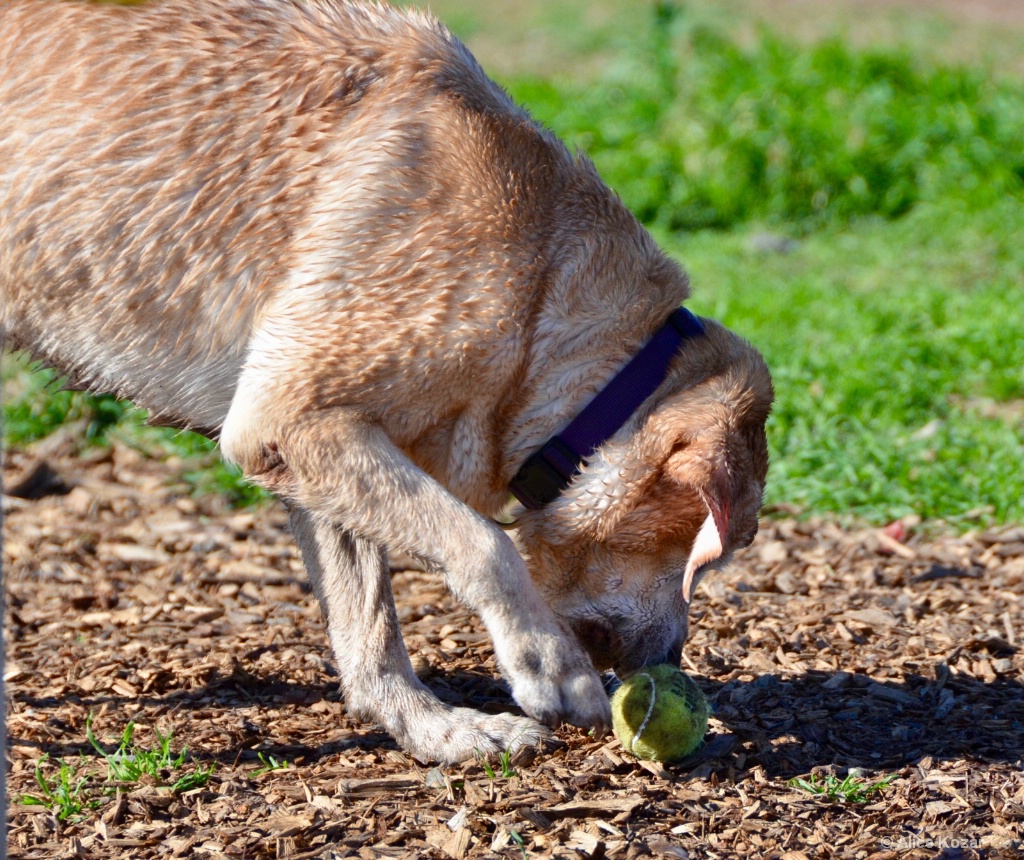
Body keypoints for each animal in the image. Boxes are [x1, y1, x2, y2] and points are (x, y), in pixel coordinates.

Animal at [0, 0, 770, 765]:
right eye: (709, 557)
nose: (674, 659)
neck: (540, 292)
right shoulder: (290, 420)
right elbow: (484, 545)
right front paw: (549, 668)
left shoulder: (324, 446)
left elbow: (369, 624)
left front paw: (439, 730)